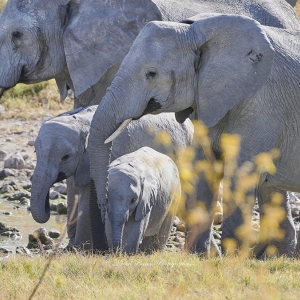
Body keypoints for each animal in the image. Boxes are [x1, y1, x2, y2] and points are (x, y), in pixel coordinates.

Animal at [30, 105, 193, 251]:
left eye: (65, 157)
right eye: (35, 151)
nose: (47, 205)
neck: (80, 122)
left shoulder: (109, 154)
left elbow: (88, 199)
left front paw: (80, 249)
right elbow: (74, 194)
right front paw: (72, 248)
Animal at [88, 14, 300, 256]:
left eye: (151, 74)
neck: (196, 31)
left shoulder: (262, 103)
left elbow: (241, 176)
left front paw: (230, 259)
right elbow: (206, 170)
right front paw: (198, 256)